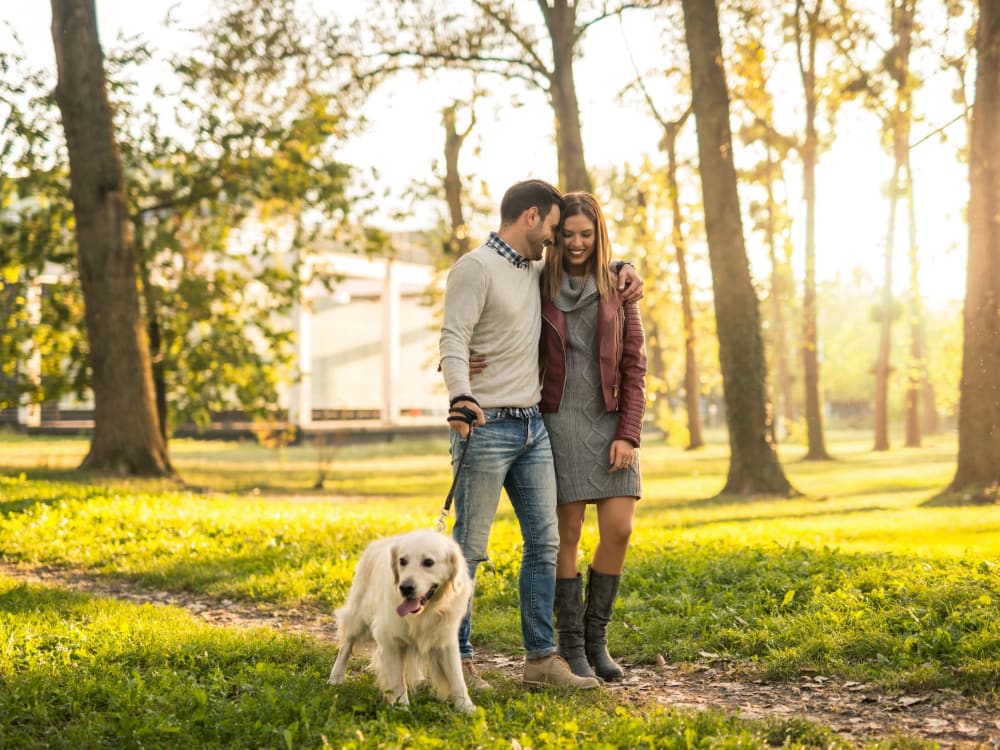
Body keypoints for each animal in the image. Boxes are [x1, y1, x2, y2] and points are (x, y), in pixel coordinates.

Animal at [324, 532, 472, 712]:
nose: (405, 588)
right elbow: (397, 681)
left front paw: (468, 708)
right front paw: (401, 709)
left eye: (428, 562)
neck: (424, 612)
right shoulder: (390, 641)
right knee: (345, 646)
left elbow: (457, 679)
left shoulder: (445, 640)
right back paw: (336, 677)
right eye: (403, 561)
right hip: (358, 617)